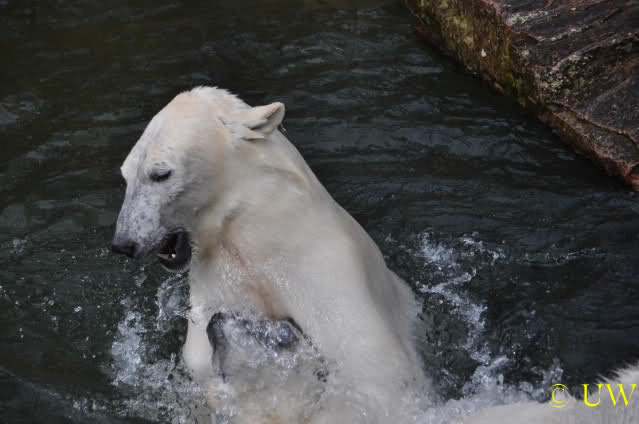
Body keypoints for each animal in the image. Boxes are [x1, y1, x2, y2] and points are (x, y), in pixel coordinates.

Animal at [112, 86, 428, 423]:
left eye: (160, 173)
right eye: (125, 174)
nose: (124, 243)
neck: (256, 232)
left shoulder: (327, 273)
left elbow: (370, 371)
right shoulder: (222, 275)